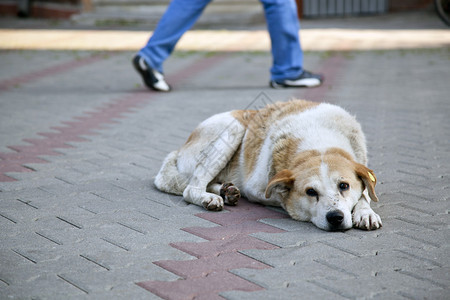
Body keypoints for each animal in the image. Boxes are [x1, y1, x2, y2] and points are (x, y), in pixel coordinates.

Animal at [154, 99, 380, 231]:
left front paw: (365, 212)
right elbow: (280, 197)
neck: (318, 142)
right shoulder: (256, 189)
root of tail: (179, 149)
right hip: (232, 129)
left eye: (344, 186)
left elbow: (364, 193)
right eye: (310, 192)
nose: (335, 218)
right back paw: (209, 197)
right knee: (191, 187)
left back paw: (226, 190)